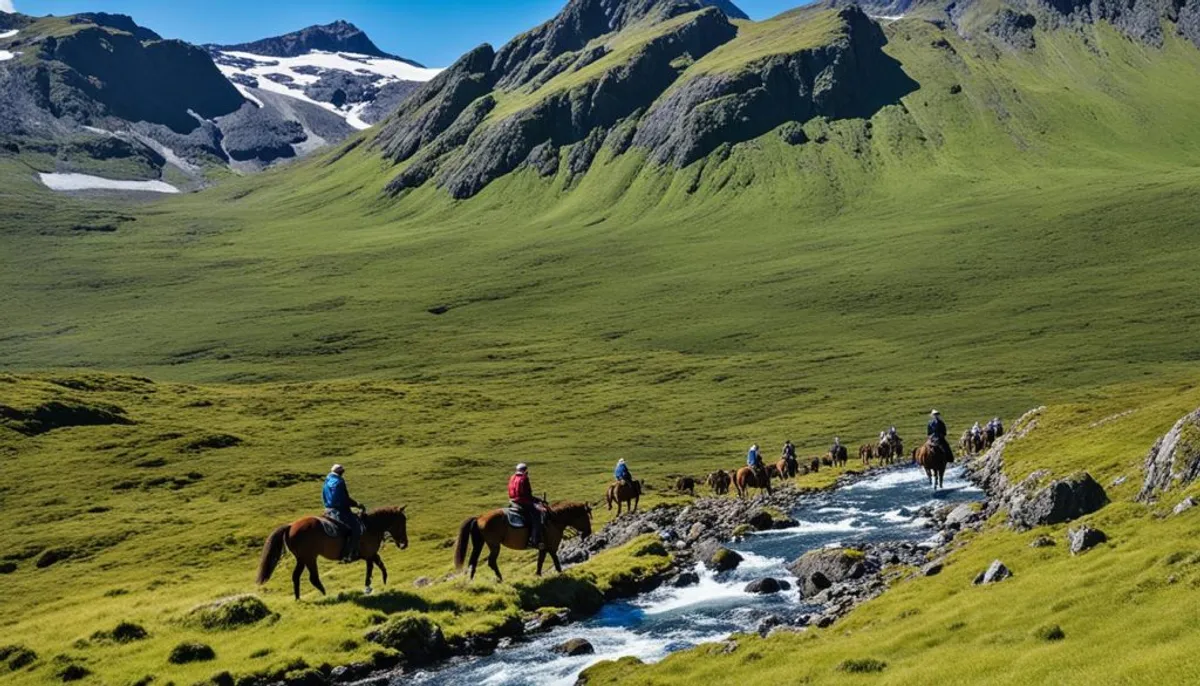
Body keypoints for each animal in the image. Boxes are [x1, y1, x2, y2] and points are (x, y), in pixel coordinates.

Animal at [255, 503, 410, 599]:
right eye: (402, 522)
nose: (404, 544)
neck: (371, 527)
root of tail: (291, 526)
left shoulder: (371, 554)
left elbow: (380, 564)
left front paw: (384, 580)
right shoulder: (368, 554)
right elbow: (371, 568)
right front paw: (368, 587)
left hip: (302, 559)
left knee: (296, 576)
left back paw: (298, 598)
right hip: (310, 557)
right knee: (313, 578)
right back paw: (325, 594)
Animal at [451, 501, 592, 580]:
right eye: (585, 517)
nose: (589, 532)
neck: (554, 520)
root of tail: (479, 517)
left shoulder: (544, 548)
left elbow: (540, 562)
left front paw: (538, 575)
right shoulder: (552, 547)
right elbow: (556, 562)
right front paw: (560, 574)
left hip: (479, 543)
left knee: (473, 561)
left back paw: (471, 580)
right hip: (494, 545)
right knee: (491, 562)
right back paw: (500, 579)